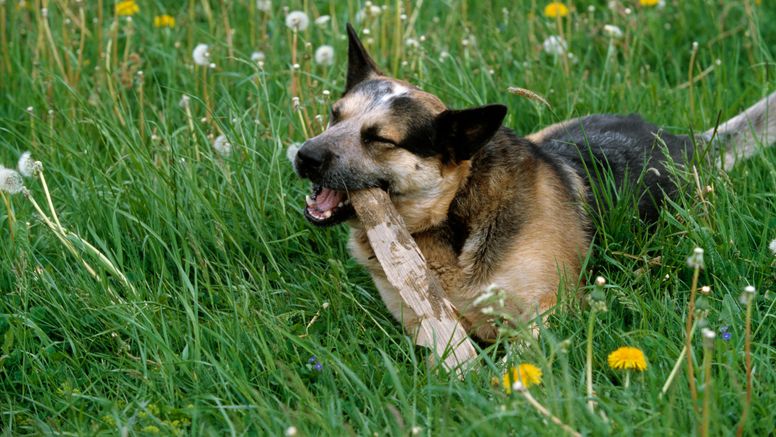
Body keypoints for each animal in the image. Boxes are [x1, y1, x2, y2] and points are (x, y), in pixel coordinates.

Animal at [292, 24, 776, 340]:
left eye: (379, 139)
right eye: (335, 115)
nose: (304, 156)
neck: (450, 214)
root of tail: (687, 142)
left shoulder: (545, 314)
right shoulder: (423, 324)